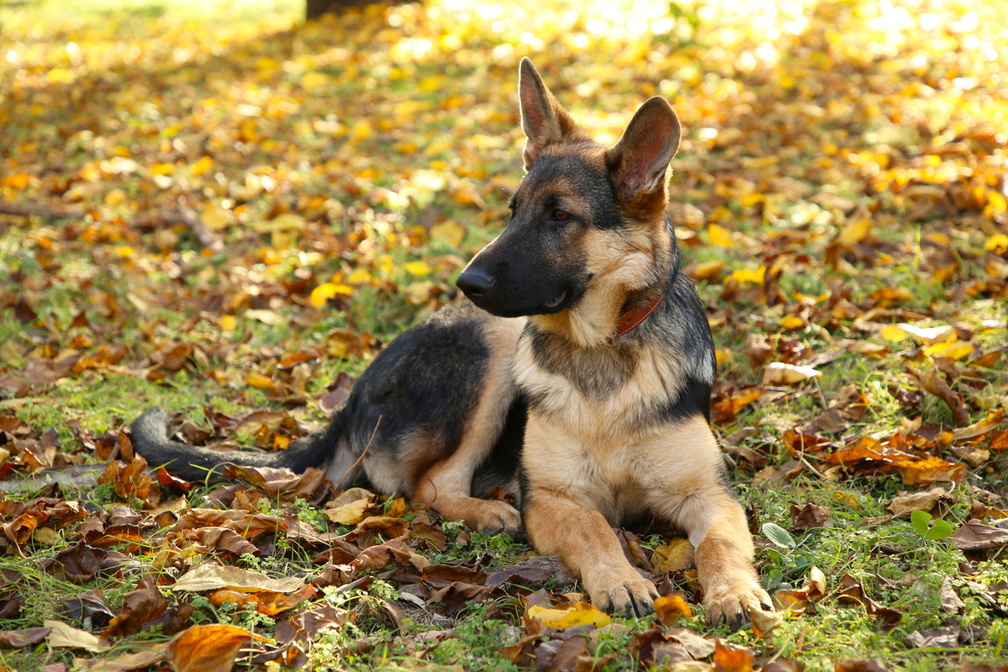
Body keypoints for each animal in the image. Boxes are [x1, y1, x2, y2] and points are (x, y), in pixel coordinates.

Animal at [132, 60, 770, 628]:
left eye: (560, 216)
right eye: (513, 211)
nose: (468, 281)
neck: (600, 349)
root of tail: (354, 398)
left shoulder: (711, 496)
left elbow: (721, 544)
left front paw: (734, 593)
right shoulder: (553, 500)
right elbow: (593, 529)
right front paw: (620, 580)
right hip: (494, 351)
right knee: (429, 485)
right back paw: (487, 510)